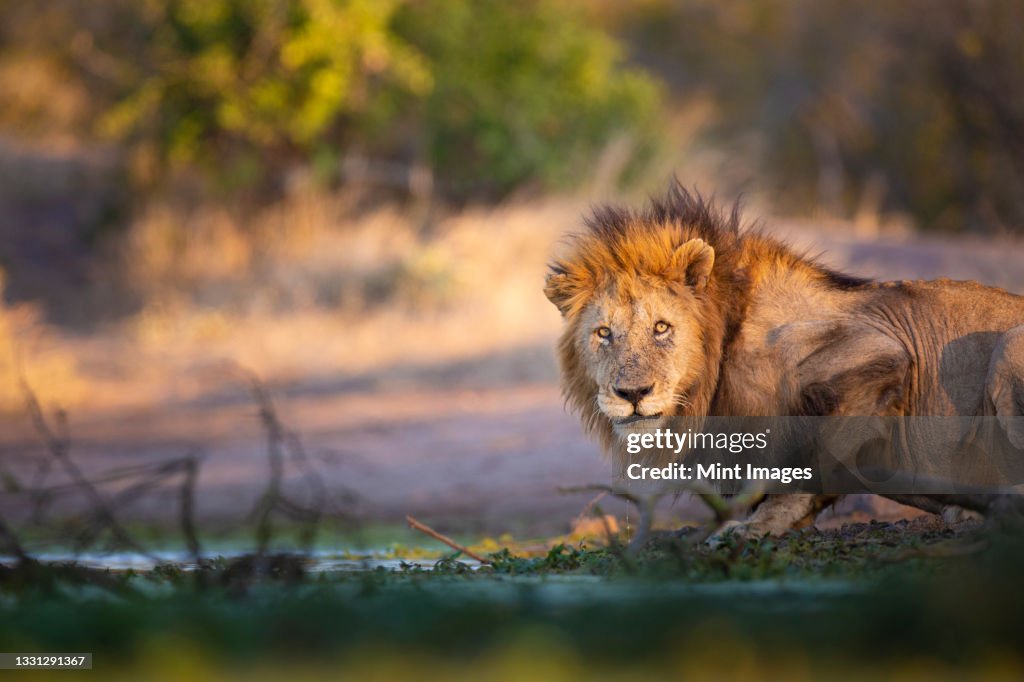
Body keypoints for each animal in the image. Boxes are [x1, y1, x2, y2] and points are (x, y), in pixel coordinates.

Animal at [544, 181, 1024, 537]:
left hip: (1008, 347)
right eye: (603, 333)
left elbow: (810, 461)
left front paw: (757, 525)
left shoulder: (881, 350)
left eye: (662, 328)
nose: (632, 393)